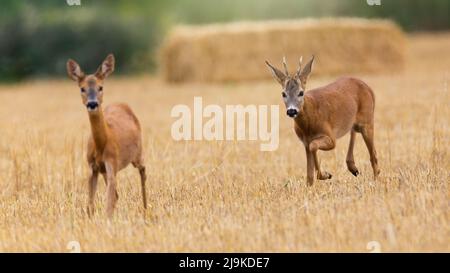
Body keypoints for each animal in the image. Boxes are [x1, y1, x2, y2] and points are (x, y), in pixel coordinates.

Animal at [66, 54, 147, 217]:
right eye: (82, 88)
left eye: (100, 87)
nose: (92, 104)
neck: (102, 144)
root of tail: (123, 104)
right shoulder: (93, 167)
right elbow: (90, 204)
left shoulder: (112, 163)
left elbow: (108, 204)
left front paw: (108, 221)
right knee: (117, 195)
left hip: (138, 153)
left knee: (143, 171)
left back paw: (146, 209)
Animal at [268, 56, 380, 185]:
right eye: (283, 94)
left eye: (301, 92)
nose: (292, 111)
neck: (308, 125)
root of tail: (369, 89)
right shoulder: (305, 142)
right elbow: (309, 175)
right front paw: (315, 181)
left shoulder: (330, 137)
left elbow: (314, 146)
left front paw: (325, 175)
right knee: (353, 130)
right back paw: (353, 168)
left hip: (367, 120)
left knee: (373, 153)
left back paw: (375, 180)